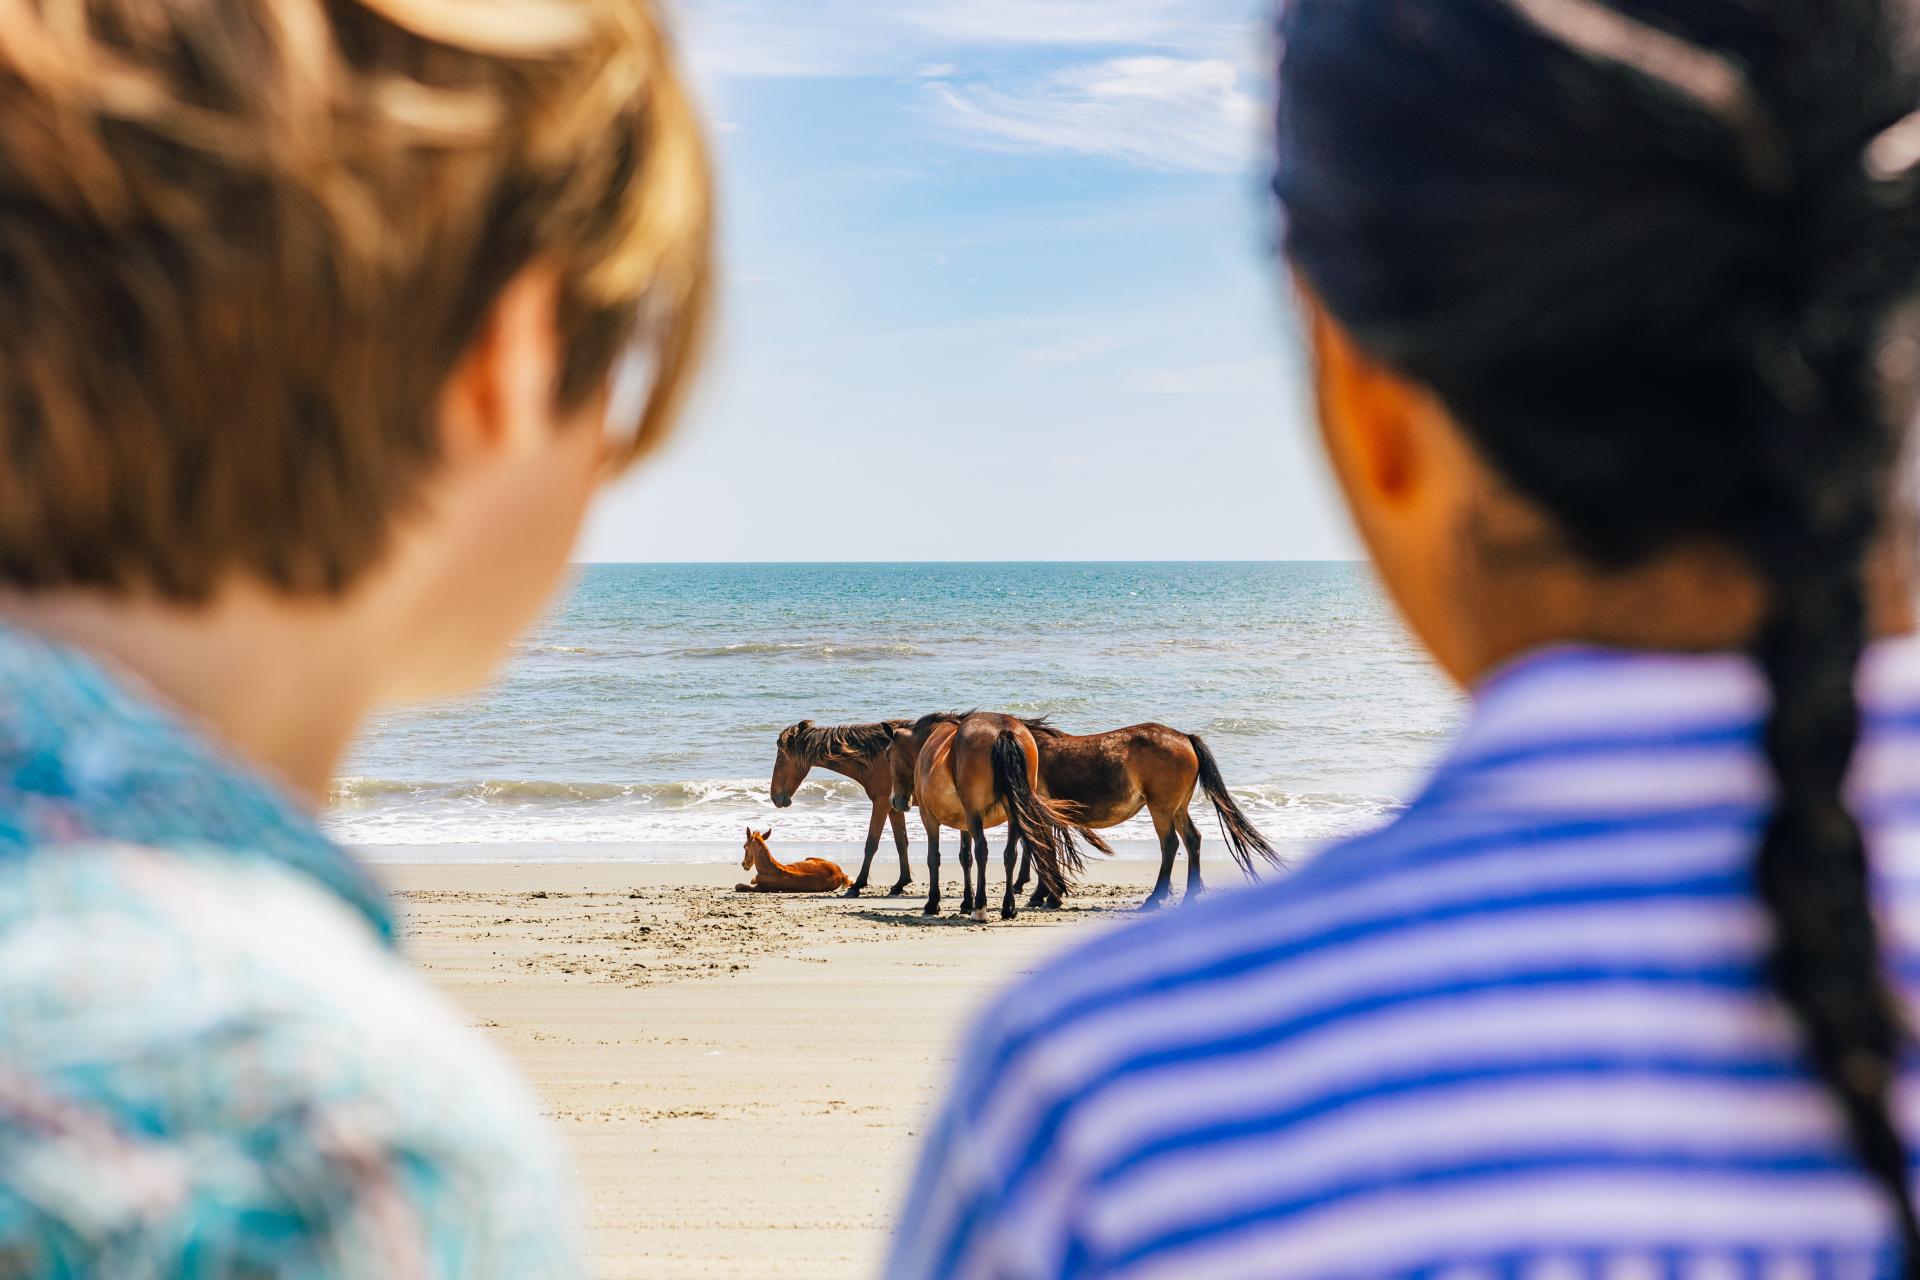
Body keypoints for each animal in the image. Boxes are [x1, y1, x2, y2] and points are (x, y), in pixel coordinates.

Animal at [769, 719, 913, 897]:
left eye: (781, 760)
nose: (774, 797)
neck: (879, 757)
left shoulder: (881, 803)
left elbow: (871, 844)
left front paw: (857, 885)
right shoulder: (893, 808)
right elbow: (901, 843)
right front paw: (901, 883)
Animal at [886, 712, 1084, 921]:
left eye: (888, 755)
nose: (895, 801)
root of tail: (1003, 731)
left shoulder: (929, 817)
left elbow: (934, 857)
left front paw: (933, 904)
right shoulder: (964, 823)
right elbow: (965, 858)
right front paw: (966, 902)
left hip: (975, 816)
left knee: (983, 850)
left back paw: (980, 908)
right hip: (1013, 815)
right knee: (1010, 854)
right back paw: (1008, 907)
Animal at [1018, 721, 1282, 909]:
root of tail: (1186, 738)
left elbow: (1041, 849)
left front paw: (1047, 895)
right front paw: (1045, 894)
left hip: (1161, 809)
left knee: (1170, 844)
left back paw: (1156, 897)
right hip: (1178, 809)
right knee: (1192, 839)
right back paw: (1190, 895)